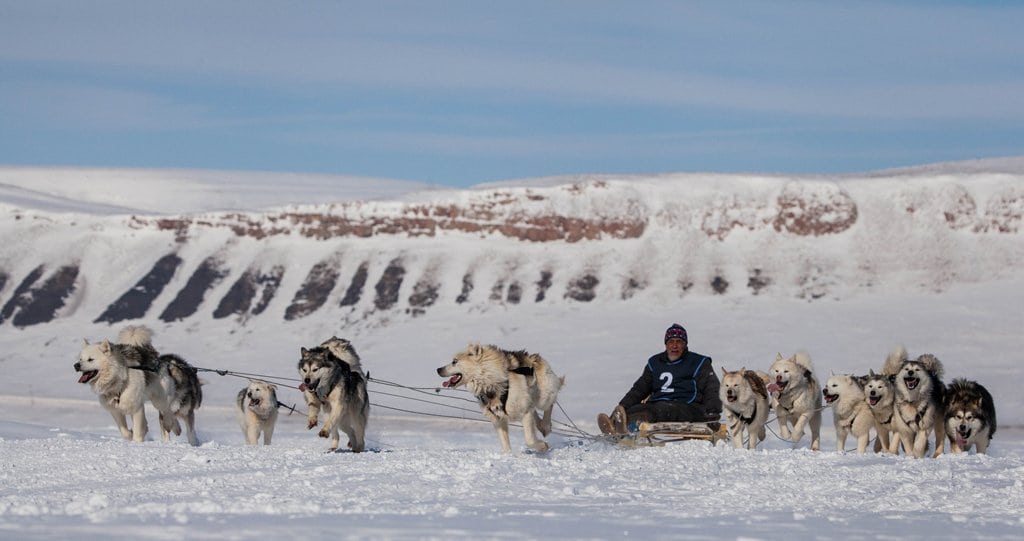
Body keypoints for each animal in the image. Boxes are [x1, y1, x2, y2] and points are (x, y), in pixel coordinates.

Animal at [438, 342, 569, 452]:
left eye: (454, 361)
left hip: (543, 397)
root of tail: (534, 357)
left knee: (549, 404)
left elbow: (529, 439)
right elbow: (505, 444)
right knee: (535, 411)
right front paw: (508, 456)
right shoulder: (498, 419)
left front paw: (542, 446)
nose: (438, 369)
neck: (490, 381)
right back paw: (541, 426)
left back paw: (545, 426)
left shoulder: (525, 412)